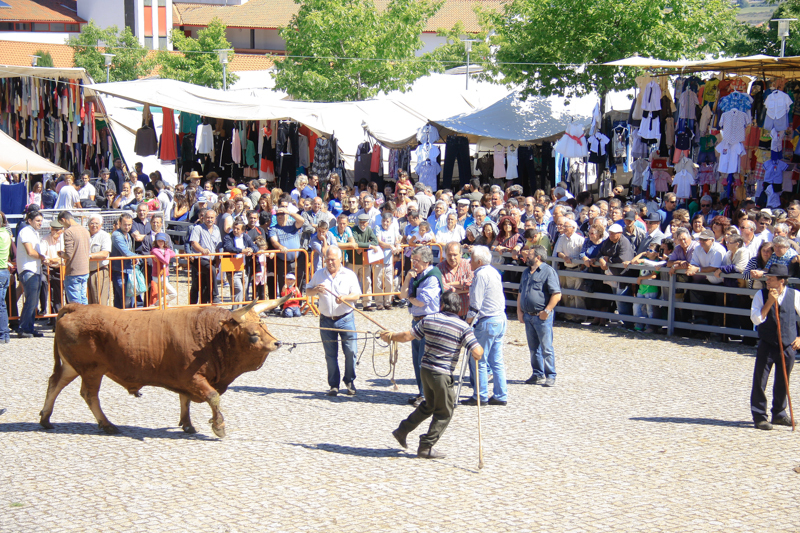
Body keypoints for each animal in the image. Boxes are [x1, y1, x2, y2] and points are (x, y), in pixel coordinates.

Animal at [39, 296, 290, 436]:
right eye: (253, 334)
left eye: (264, 324)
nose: (277, 343)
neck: (211, 338)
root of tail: (77, 307)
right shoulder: (193, 377)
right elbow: (212, 397)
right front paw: (219, 426)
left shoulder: (186, 379)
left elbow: (185, 400)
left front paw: (187, 425)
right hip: (91, 369)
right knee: (89, 394)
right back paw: (107, 424)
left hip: (72, 366)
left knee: (55, 383)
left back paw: (45, 419)